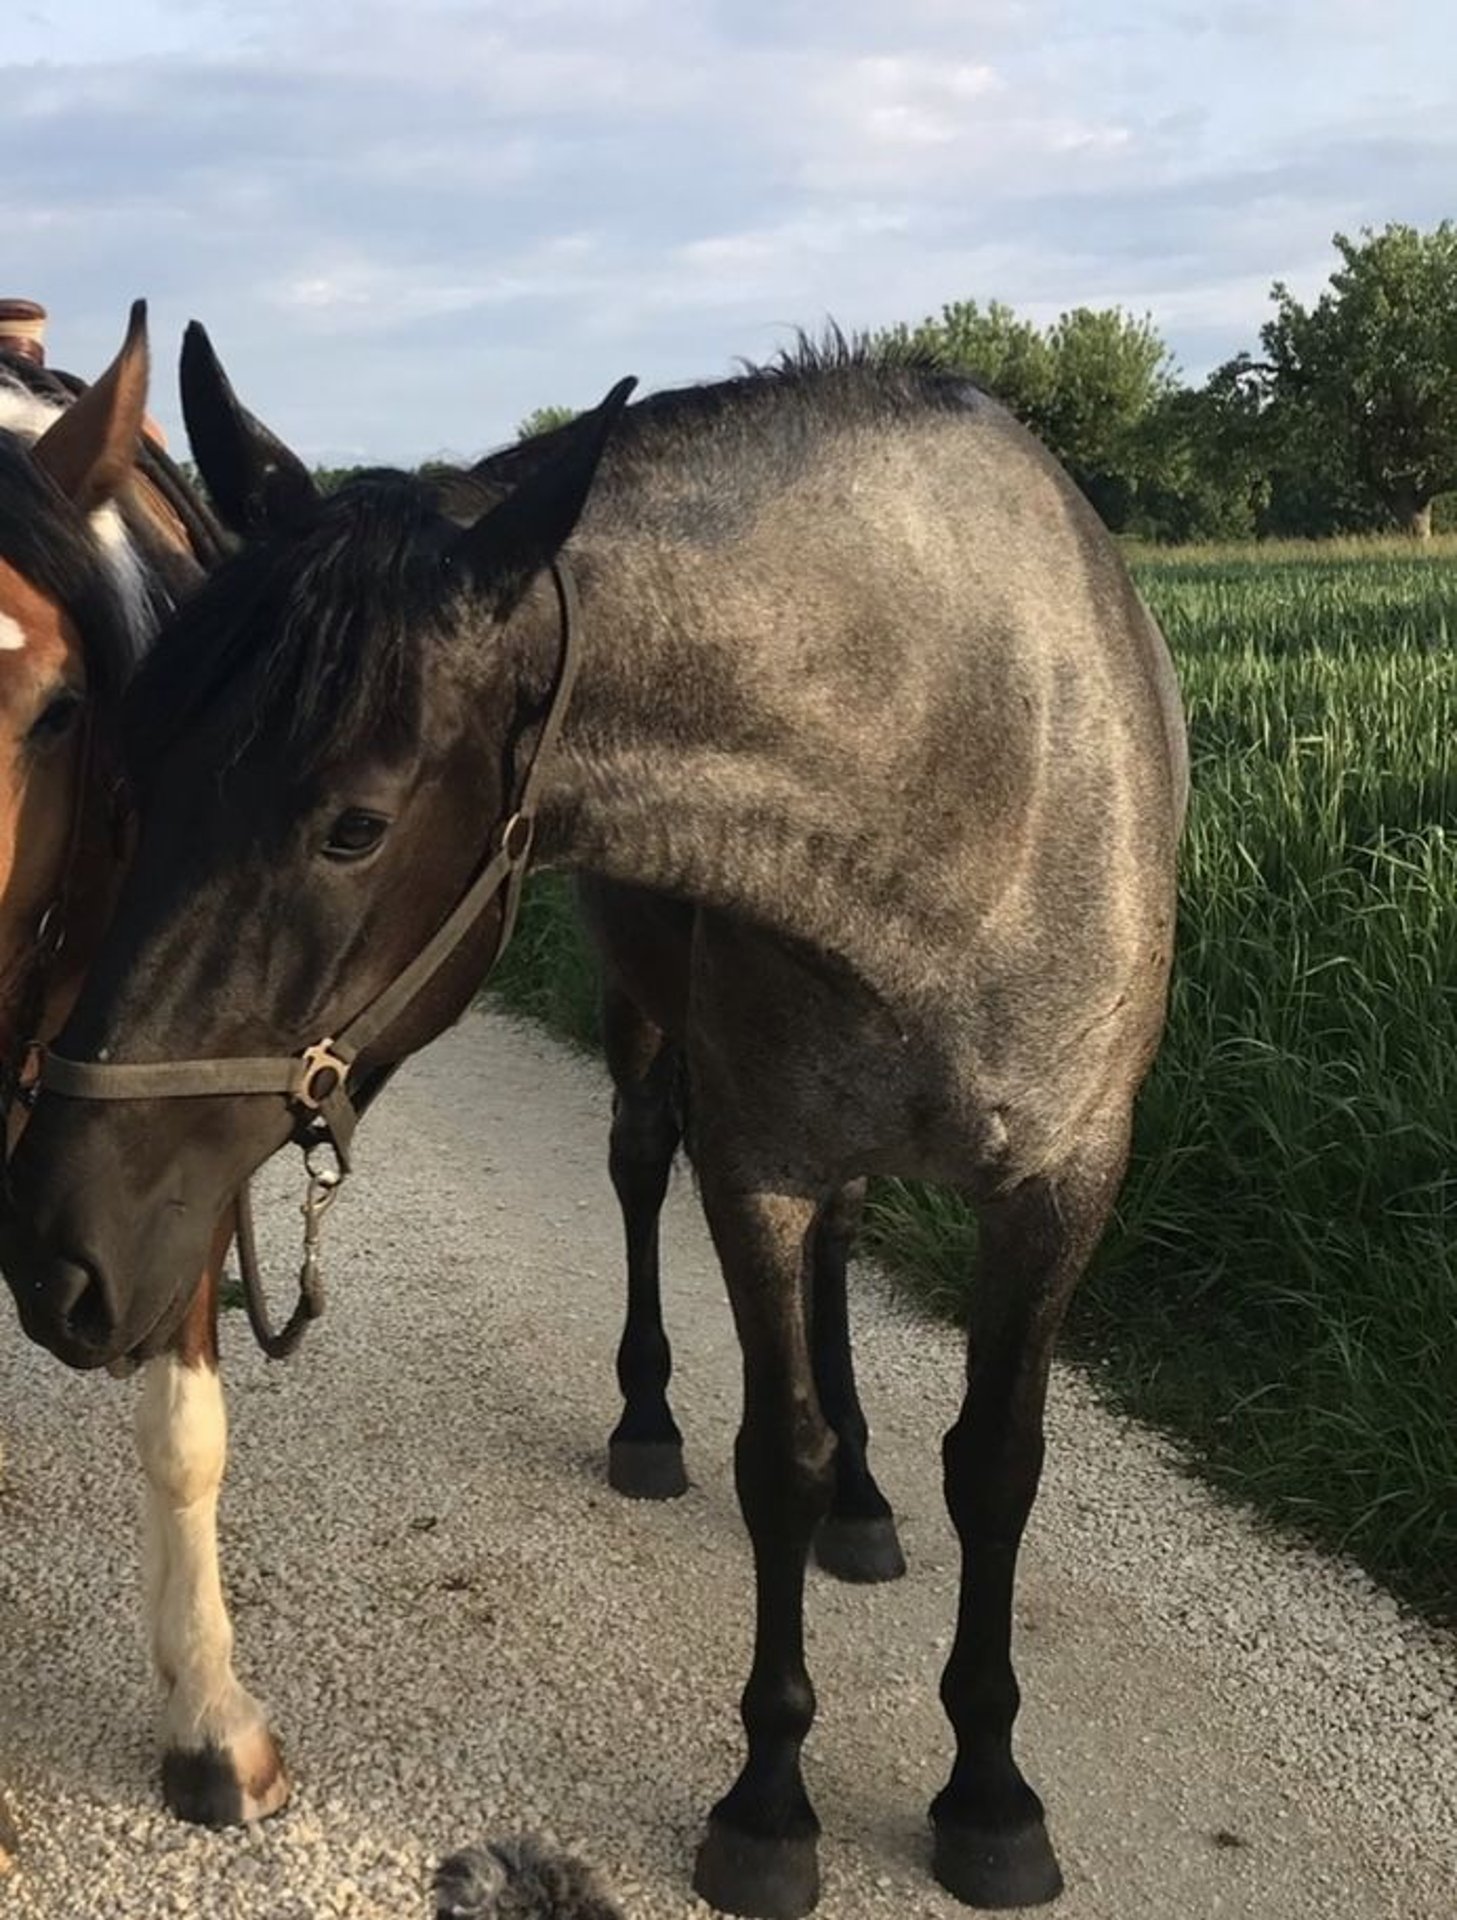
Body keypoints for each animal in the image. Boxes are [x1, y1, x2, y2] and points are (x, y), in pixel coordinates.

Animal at [0, 322, 1182, 1912]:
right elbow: (776, 1456)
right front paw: (770, 1804)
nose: (53, 1248)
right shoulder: (758, 1161)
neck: (961, 768)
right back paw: (655, 1423)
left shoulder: (1061, 1186)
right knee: (641, 1170)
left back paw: (871, 1506)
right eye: (129, 769)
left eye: (355, 825)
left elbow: (995, 1467)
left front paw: (989, 1790)